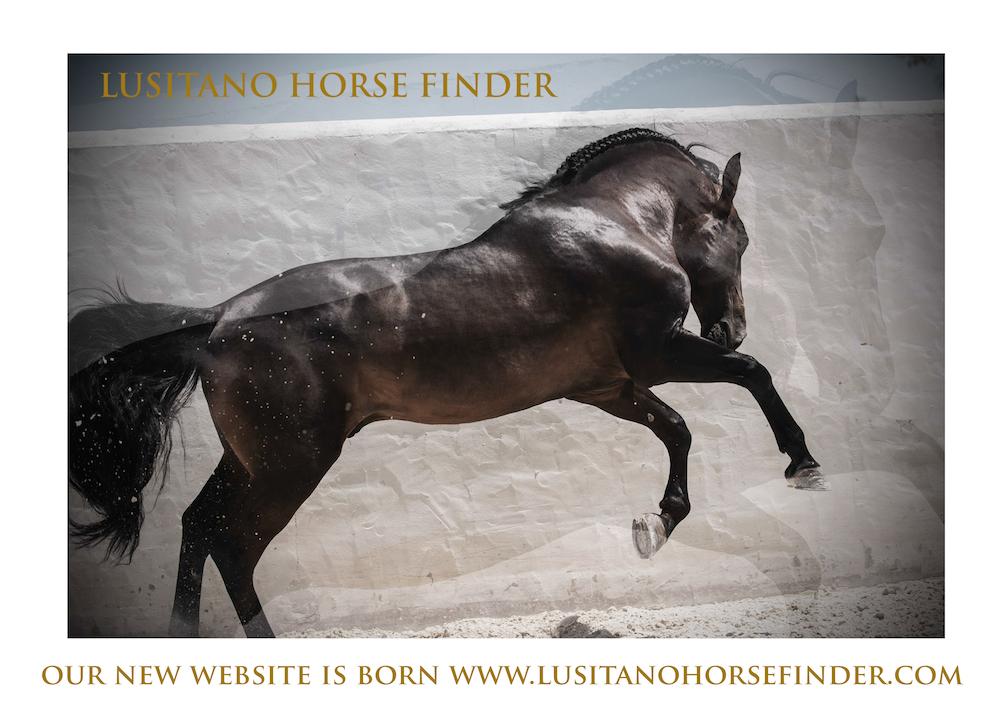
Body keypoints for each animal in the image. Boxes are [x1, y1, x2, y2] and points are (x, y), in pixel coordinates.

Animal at [68, 127, 822, 638]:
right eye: (741, 238)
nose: (731, 329)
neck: (613, 223)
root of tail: (218, 321)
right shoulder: (657, 352)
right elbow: (752, 377)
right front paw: (803, 465)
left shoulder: (604, 386)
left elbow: (678, 428)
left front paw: (655, 524)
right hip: (291, 464)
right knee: (231, 542)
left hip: (254, 459)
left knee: (197, 525)